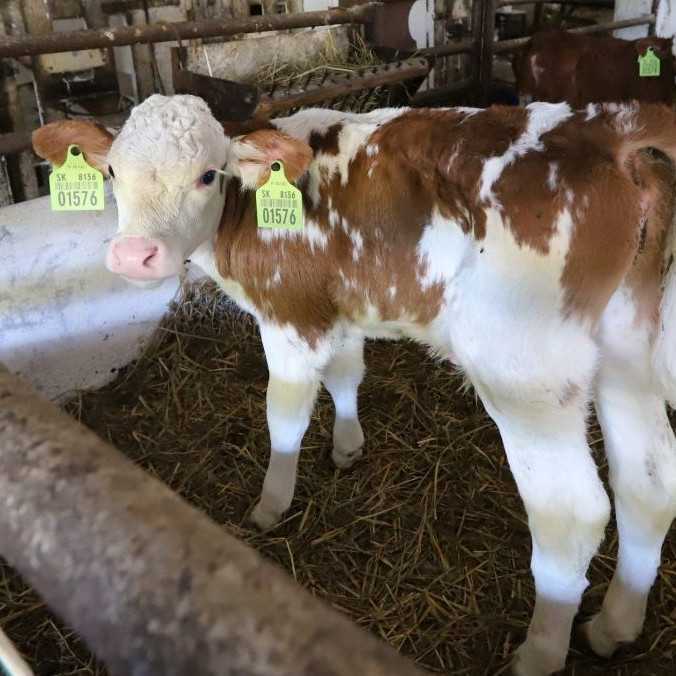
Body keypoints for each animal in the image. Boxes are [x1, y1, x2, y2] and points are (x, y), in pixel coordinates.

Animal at [33, 96, 676, 676]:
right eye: (113, 172)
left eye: (207, 174)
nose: (134, 256)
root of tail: (605, 127)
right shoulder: (336, 309)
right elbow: (347, 373)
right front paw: (347, 447)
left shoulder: (289, 317)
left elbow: (285, 416)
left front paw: (270, 504)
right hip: (625, 355)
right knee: (648, 485)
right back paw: (614, 625)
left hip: (527, 376)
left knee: (571, 515)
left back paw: (539, 655)